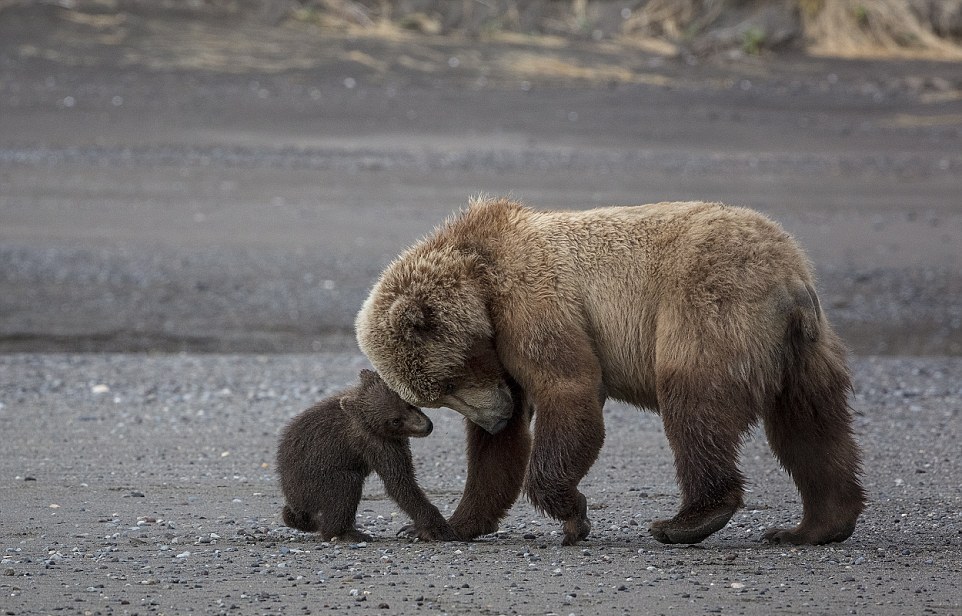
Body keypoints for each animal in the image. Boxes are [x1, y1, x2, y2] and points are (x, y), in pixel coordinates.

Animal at [356, 196, 868, 544]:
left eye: (446, 382)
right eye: (435, 396)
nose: (494, 418)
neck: (480, 277)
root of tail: (790, 276)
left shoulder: (534, 305)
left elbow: (570, 390)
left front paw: (574, 512)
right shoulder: (503, 360)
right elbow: (496, 454)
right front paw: (444, 525)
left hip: (712, 306)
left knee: (694, 403)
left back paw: (686, 520)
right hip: (803, 350)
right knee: (810, 425)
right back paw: (814, 525)